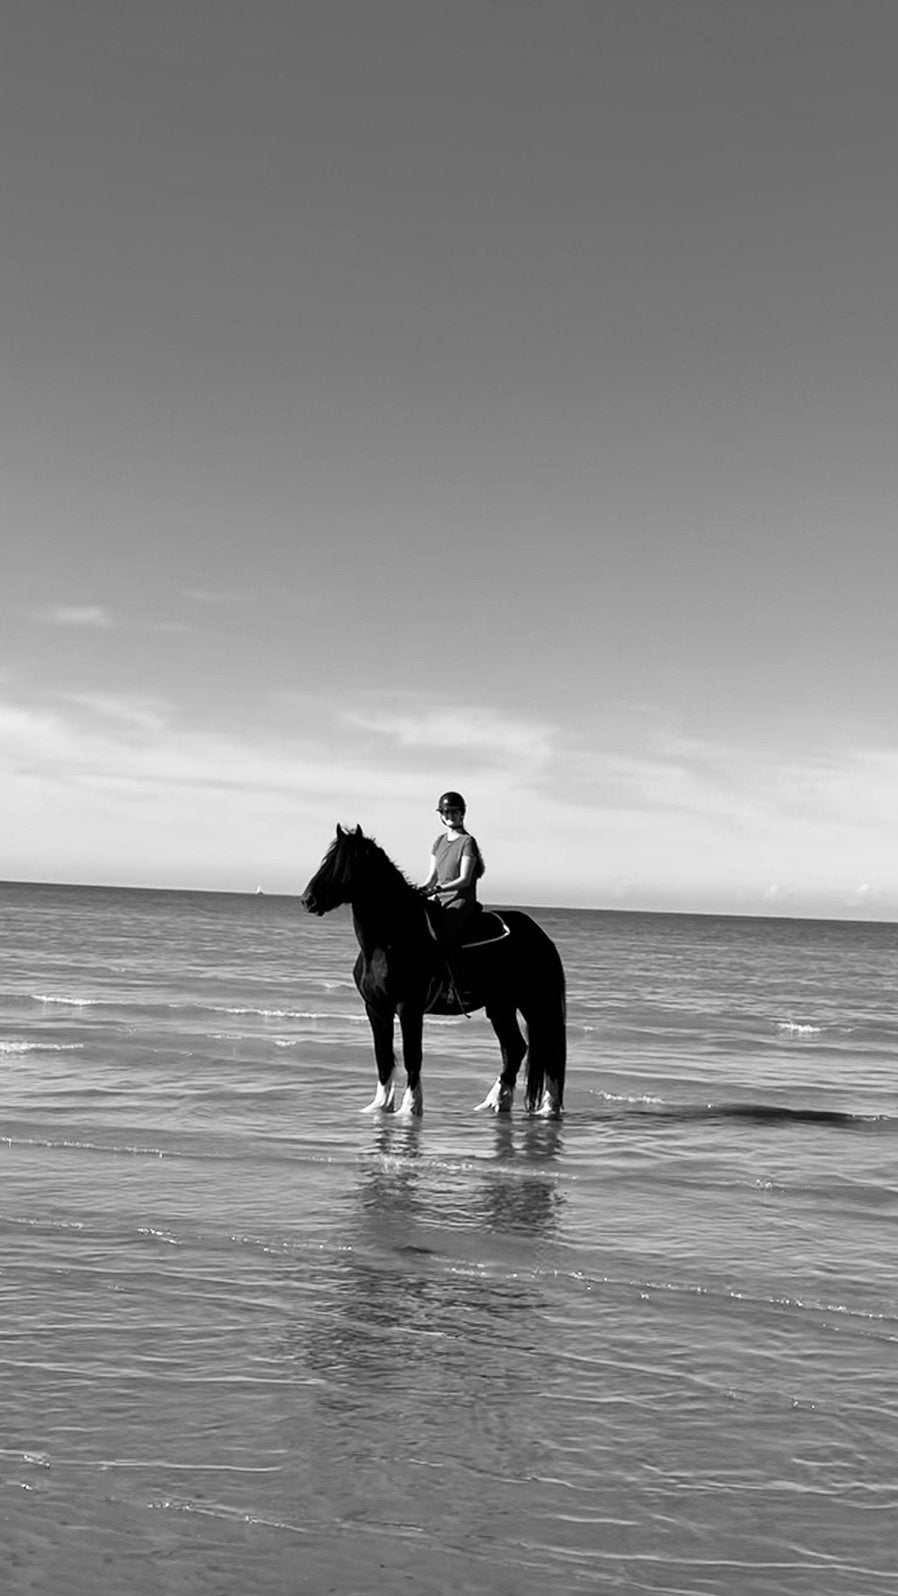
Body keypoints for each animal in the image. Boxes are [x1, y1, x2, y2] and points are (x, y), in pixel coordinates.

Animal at [301, 825, 566, 1118]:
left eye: (345, 863)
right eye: (327, 860)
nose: (308, 900)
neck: (390, 940)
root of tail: (540, 936)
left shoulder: (409, 1007)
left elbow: (412, 1055)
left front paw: (410, 1107)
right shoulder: (376, 1008)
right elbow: (383, 1056)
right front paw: (380, 1105)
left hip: (535, 1003)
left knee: (547, 1049)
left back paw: (547, 1106)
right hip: (501, 1006)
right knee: (515, 1048)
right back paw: (496, 1101)